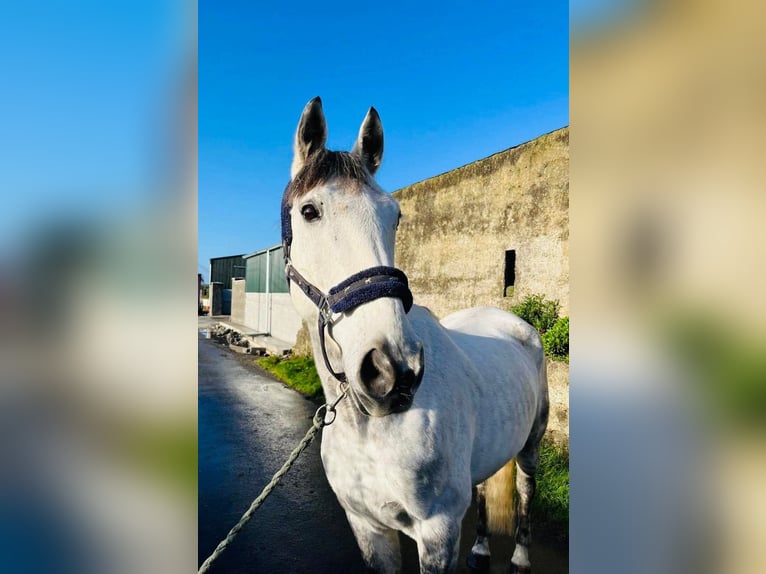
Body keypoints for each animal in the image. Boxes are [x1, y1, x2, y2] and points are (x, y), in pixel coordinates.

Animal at [282, 97, 552, 572]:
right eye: (309, 211)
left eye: (395, 216)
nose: (392, 371)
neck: (369, 428)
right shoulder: (369, 529)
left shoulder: (437, 533)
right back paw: (481, 550)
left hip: (532, 445)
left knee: (525, 489)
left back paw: (519, 557)